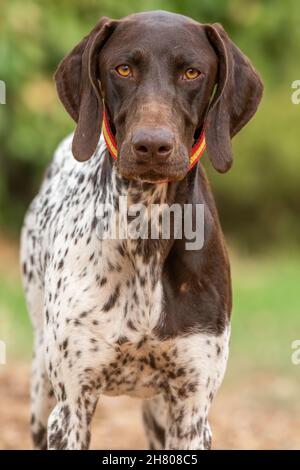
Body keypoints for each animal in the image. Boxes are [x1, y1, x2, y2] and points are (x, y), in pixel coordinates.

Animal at [20, 11, 262, 450]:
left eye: (191, 72)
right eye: (123, 69)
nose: (152, 145)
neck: (147, 232)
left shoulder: (192, 411)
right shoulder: (72, 410)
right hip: (43, 388)